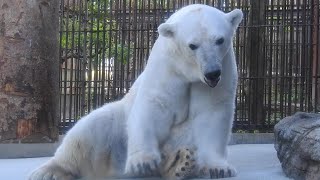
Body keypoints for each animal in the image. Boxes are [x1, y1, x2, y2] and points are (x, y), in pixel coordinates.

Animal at [28, 4, 242, 180]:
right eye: (192, 45)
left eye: (220, 40)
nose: (212, 72)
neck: (189, 72)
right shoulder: (167, 67)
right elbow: (154, 105)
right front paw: (143, 161)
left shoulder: (224, 69)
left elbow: (212, 113)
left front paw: (219, 168)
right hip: (118, 125)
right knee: (89, 129)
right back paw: (49, 171)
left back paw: (180, 162)